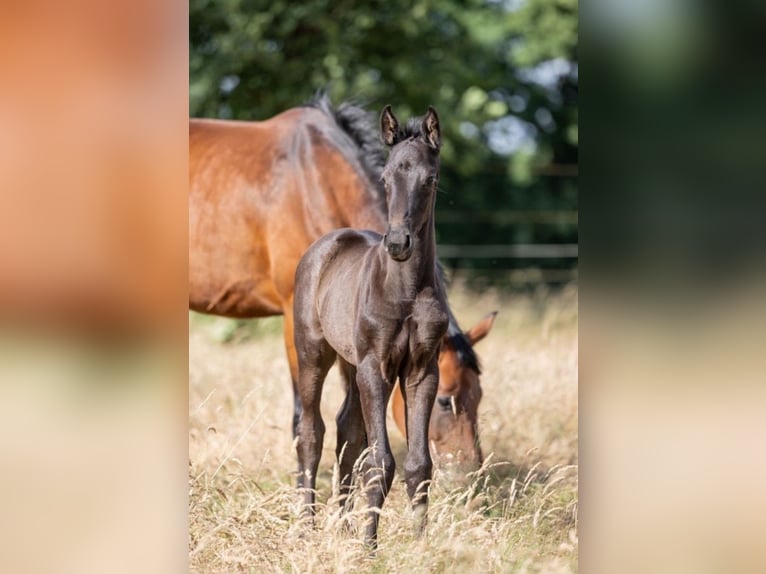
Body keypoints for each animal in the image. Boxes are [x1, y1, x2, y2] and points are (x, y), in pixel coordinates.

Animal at [294, 106, 450, 548]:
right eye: (384, 177)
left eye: (430, 180)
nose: (398, 243)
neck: (406, 290)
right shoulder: (375, 368)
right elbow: (380, 460)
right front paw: (369, 547)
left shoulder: (421, 371)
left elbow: (418, 464)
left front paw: (420, 545)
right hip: (313, 353)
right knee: (311, 432)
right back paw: (308, 528)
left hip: (350, 362)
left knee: (347, 430)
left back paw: (343, 525)